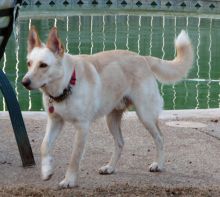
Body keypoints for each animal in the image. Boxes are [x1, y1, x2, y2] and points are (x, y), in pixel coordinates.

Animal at [22, 26, 192, 188]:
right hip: (111, 119)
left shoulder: (82, 127)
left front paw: (69, 180)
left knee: (160, 138)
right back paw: (110, 167)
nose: (24, 82)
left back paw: (159, 165)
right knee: (120, 142)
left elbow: (74, 157)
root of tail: (143, 57)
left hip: (146, 115)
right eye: (29, 63)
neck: (67, 84)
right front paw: (46, 170)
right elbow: (44, 146)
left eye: (43, 65)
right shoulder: (55, 121)